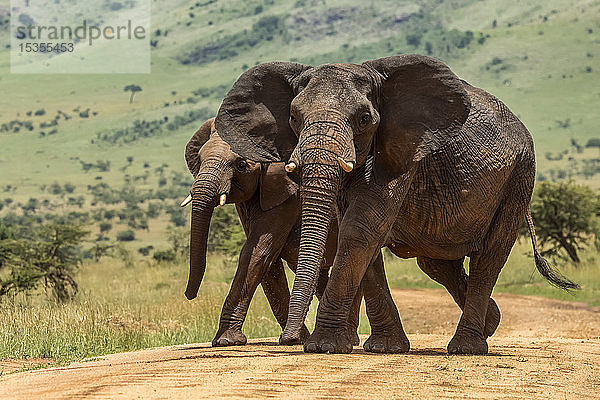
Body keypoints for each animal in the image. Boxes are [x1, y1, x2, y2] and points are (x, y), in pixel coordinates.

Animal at [182, 116, 366, 346]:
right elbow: (268, 263)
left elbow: (257, 252)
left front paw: (226, 341)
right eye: (199, 159)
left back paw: (349, 338)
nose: (189, 295)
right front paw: (298, 340)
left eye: (241, 165)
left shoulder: (288, 195)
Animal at [214, 54, 576, 354]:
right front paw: (383, 348)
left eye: (364, 119)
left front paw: (323, 347)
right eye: (293, 117)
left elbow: (361, 228)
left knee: (490, 255)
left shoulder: (403, 148)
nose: (288, 340)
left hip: (519, 176)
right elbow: (361, 234)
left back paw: (467, 348)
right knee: (437, 264)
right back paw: (491, 322)